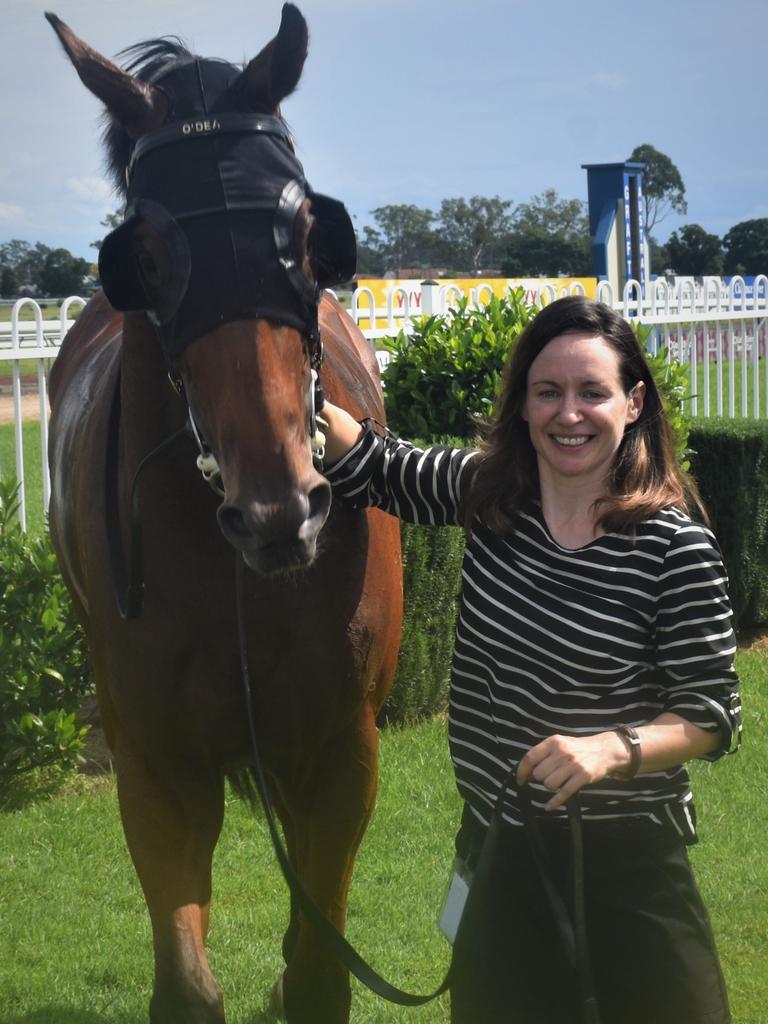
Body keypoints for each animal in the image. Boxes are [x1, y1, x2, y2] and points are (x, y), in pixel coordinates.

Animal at [44, 8, 403, 1024]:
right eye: (147, 257)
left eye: (307, 231)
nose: (280, 511)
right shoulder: (155, 765)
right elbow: (186, 985)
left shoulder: (341, 749)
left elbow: (320, 972)